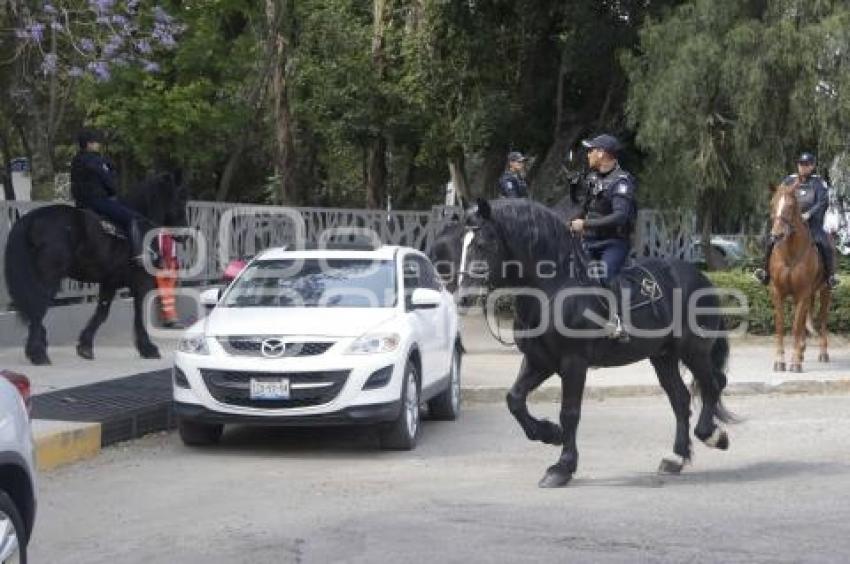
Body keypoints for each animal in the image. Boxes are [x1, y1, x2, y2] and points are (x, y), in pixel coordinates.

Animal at [4, 174, 187, 364]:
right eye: (181, 199)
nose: (185, 236)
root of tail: (31, 218)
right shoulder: (140, 282)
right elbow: (138, 313)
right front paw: (148, 348)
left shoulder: (109, 282)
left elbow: (101, 313)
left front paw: (85, 346)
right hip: (48, 278)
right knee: (37, 308)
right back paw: (38, 353)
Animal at [460, 199, 732, 490]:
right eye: (461, 243)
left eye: (482, 243)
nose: (463, 297)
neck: (553, 288)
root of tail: (701, 278)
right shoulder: (539, 361)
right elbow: (514, 399)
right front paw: (549, 434)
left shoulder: (573, 362)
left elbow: (569, 412)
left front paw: (562, 467)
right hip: (663, 356)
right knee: (681, 399)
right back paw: (675, 458)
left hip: (694, 350)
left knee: (712, 385)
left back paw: (713, 436)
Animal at [760, 183, 828, 372]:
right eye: (772, 203)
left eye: (790, 206)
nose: (776, 235)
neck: (790, 253)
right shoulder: (777, 292)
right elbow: (781, 325)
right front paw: (780, 360)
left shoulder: (803, 293)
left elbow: (797, 326)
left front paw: (795, 362)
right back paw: (802, 350)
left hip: (825, 291)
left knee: (822, 319)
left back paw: (822, 353)